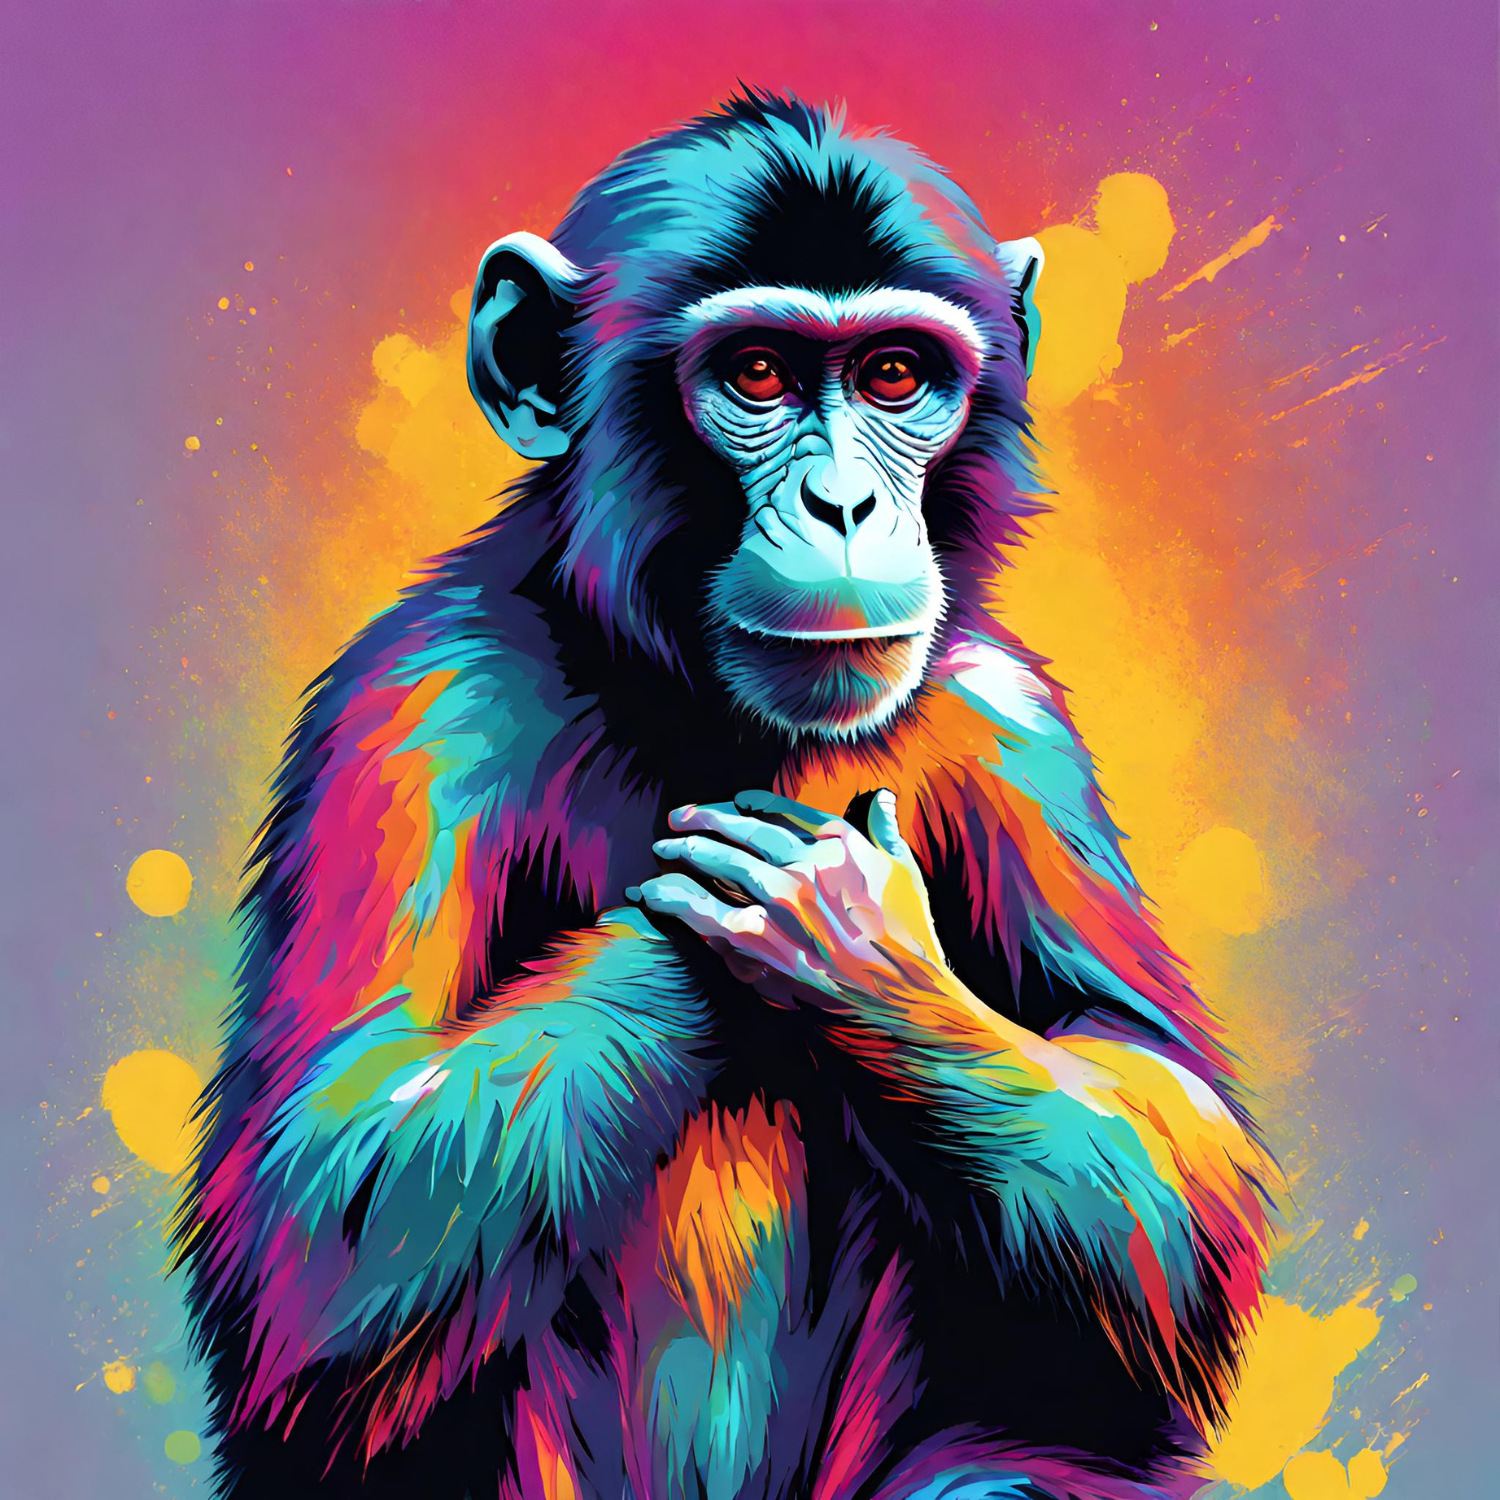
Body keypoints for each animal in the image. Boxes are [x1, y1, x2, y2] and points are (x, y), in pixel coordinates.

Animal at [177, 92, 1274, 1500]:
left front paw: (851, 938)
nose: (844, 502)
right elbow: (316, 1209)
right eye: (756, 375)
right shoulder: (406, 709)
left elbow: (1169, 1147)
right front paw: (755, 908)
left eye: (896, 377)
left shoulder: (1016, 728)